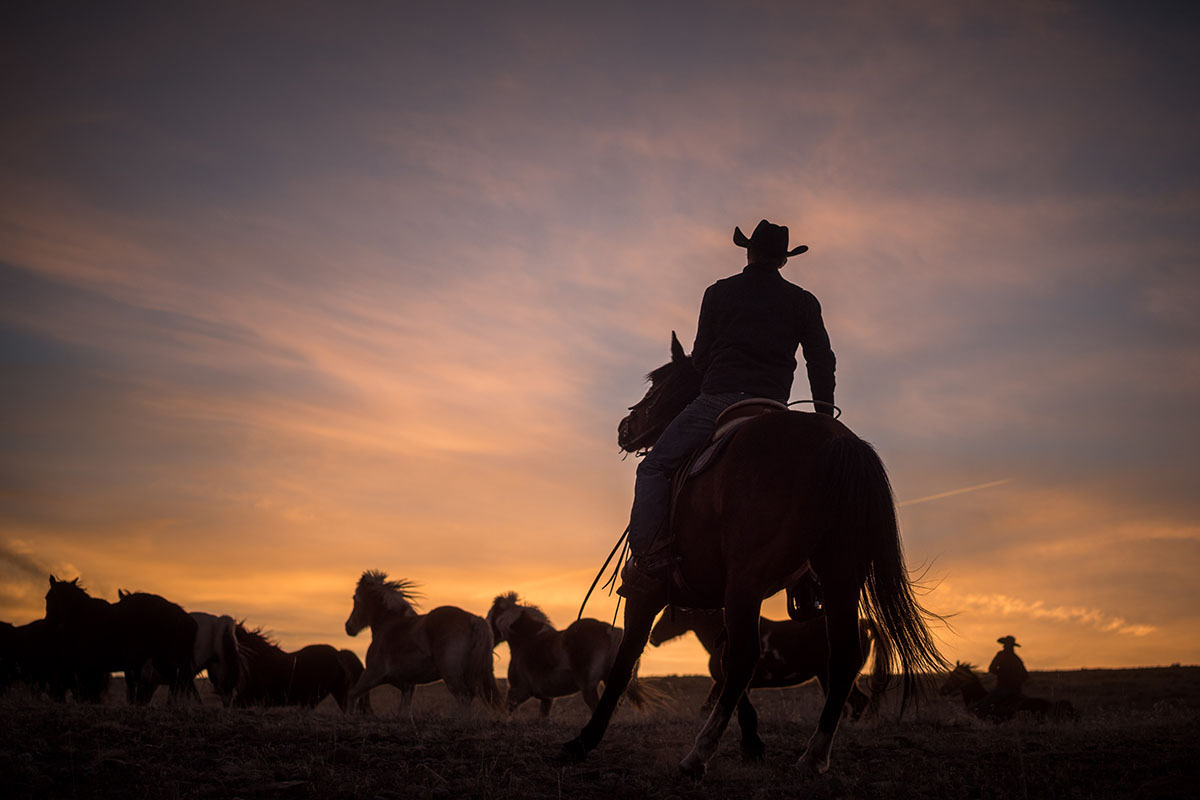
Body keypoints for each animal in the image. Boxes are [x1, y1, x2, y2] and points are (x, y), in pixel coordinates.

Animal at [44, 577, 197, 704]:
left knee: (174, 680)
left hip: (163, 659)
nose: (47, 624)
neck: (87, 617)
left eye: (48, 597)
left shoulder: (92, 665)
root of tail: (184, 617)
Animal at [343, 570, 499, 713]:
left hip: (451, 675)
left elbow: (351, 695)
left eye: (355, 598)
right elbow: (404, 711)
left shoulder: (372, 674)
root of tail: (474, 619)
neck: (388, 624)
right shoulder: (407, 685)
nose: (348, 627)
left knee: (463, 699)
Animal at [487, 592, 658, 716]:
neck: (526, 639)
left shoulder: (519, 691)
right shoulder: (546, 697)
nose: (490, 639)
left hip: (588, 687)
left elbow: (506, 711)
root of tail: (609, 630)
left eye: (492, 614)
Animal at [649, 606, 888, 721]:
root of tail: (864, 624)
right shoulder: (728, 684)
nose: (653, 638)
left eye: (670, 615)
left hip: (830, 675)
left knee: (856, 703)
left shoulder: (729, 683)